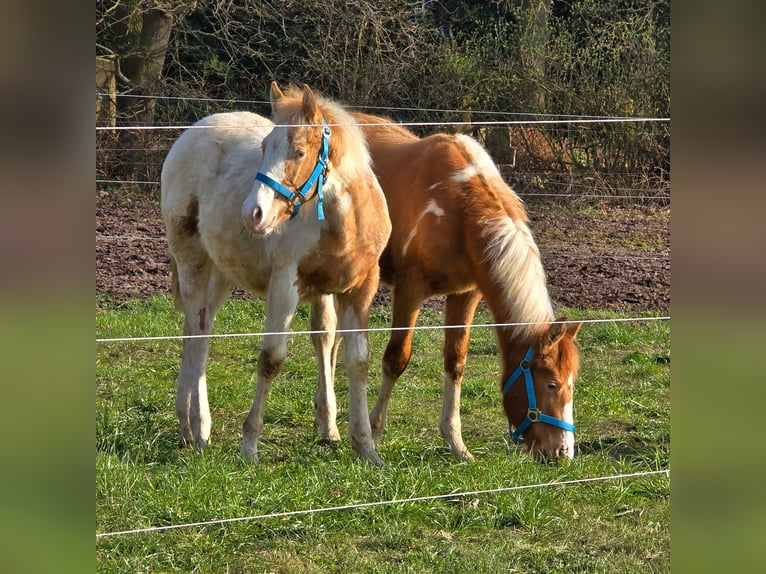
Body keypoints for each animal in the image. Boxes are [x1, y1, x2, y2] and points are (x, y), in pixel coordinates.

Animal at [160, 83, 391, 466]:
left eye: (299, 151)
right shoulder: (285, 285)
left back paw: (189, 425)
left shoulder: (360, 289)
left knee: (196, 330)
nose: (253, 213)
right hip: (192, 262)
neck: (345, 224)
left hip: (221, 273)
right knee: (199, 335)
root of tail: (191, 133)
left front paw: (366, 448)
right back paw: (197, 428)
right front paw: (249, 445)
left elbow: (357, 362)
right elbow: (272, 359)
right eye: (264, 147)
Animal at [349, 112, 582, 462]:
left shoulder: (466, 293)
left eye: (572, 383)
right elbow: (396, 359)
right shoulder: (409, 289)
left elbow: (455, 361)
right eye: (551, 384)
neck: (458, 208)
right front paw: (374, 434)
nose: (562, 452)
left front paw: (456, 443)